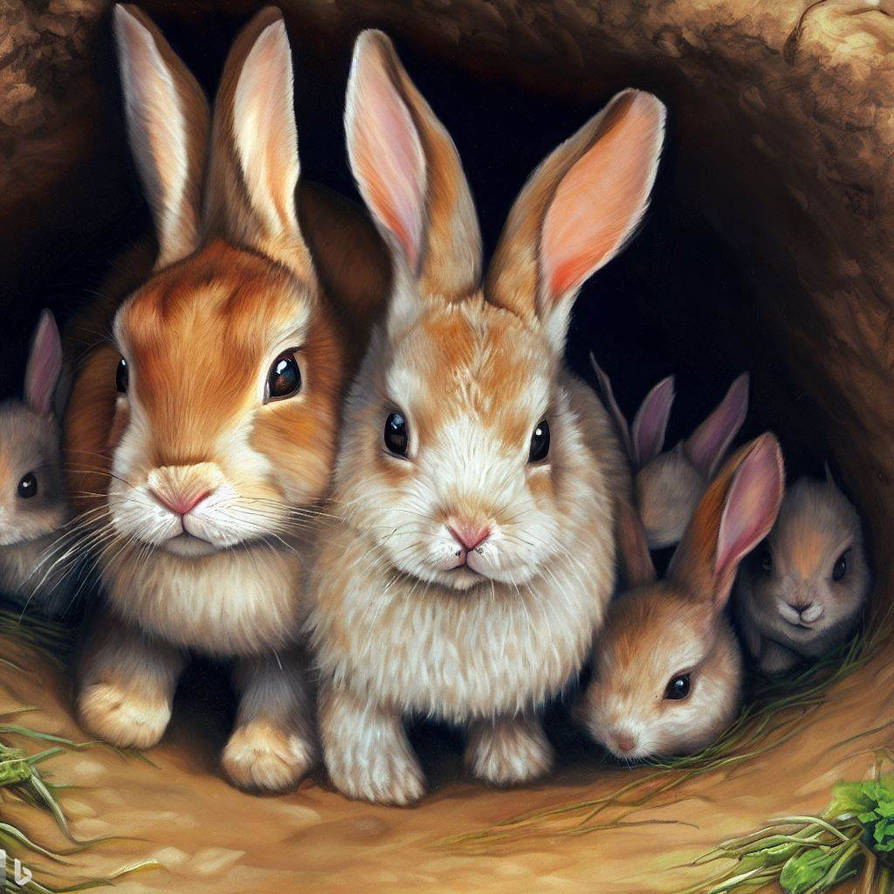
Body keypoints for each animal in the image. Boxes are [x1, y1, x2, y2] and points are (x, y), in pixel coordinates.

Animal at [63, 5, 389, 794]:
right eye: (121, 371)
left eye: (285, 376)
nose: (179, 489)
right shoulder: (131, 611)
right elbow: (135, 648)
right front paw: (117, 714)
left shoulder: (299, 652)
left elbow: (282, 688)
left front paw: (266, 761)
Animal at [306, 29, 666, 805]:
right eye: (395, 431)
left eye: (542, 439)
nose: (469, 530)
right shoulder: (346, 675)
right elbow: (356, 717)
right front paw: (381, 785)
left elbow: (504, 717)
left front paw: (514, 766)